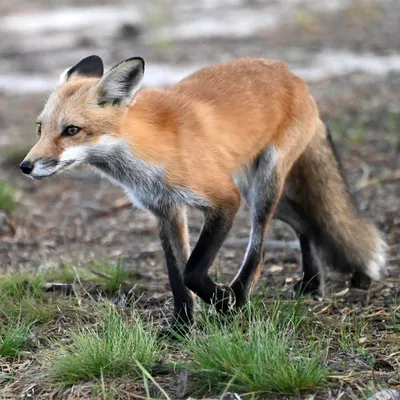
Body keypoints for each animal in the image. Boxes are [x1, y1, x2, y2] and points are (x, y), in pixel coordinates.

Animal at [20, 54, 386, 332]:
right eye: (40, 128)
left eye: (71, 130)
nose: (25, 166)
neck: (149, 151)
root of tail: (291, 73)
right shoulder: (166, 211)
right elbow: (176, 276)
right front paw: (181, 327)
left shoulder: (224, 199)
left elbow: (193, 271)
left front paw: (222, 301)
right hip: (259, 190)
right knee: (307, 223)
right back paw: (311, 282)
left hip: (261, 188)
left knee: (259, 248)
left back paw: (240, 296)